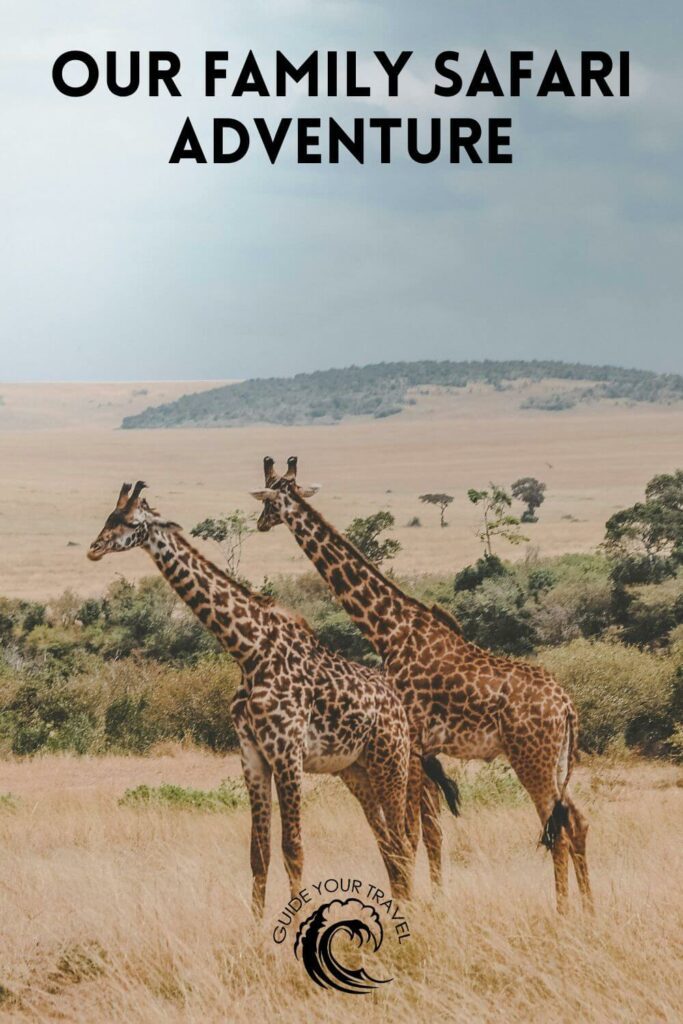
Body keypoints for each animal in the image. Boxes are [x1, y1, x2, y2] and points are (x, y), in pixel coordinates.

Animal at [88, 483, 423, 917]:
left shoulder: (288, 753)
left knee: (402, 842)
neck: (248, 651)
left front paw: (293, 922)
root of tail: (400, 708)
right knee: (388, 844)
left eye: (130, 522)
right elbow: (258, 853)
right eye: (108, 518)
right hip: (356, 770)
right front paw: (255, 926)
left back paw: (411, 914)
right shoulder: (252, 756)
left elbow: (293, 848)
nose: (94, 548)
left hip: (390, 762)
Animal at [250, 456, 593, 913]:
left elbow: (410, 834)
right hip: (556, 762)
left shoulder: (410, 741)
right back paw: (589, 909)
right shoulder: (426, 749)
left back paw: (562, 911)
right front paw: (435, 900)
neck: (389, 628)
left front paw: (413, 904)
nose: (259, 524)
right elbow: (430, 832)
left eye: (270, 499)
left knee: (554, 830)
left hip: (531, 759)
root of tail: (568, 707)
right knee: (577, 820)